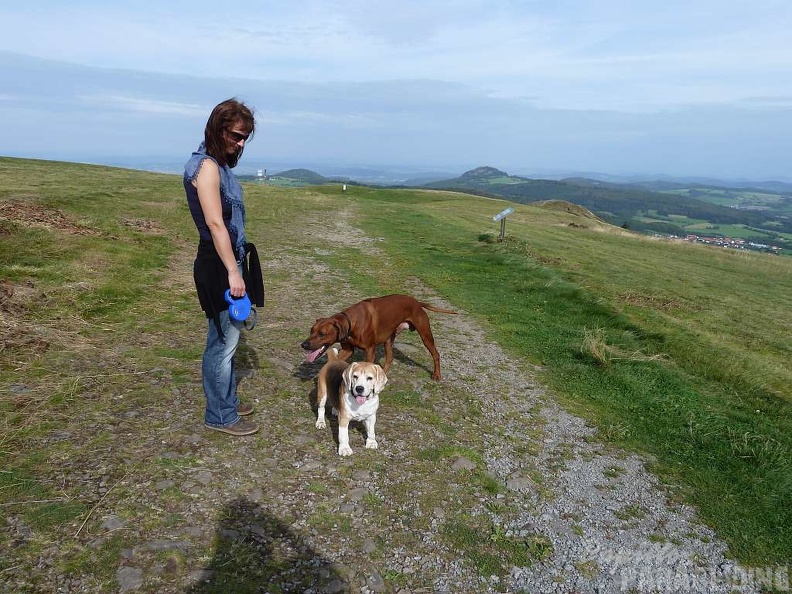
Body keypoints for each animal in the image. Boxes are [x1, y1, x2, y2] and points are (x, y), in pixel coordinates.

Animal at [300, 292, 454, 380]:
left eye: (322, 334)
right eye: (311, 331)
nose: (304, 344)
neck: (351, 322)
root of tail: (417, 302)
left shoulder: (370, 350)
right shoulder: (348, 349)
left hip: (425, 335)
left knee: (435, 354)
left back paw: (437, 375)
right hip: (388, 339)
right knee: (389, 358)